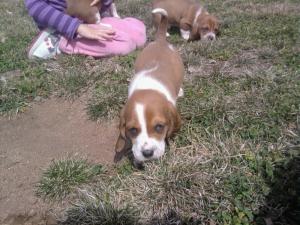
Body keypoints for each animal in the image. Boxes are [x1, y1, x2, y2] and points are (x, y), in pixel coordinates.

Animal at [115, 8, 184, 169]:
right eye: (133, 130)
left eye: (159, 127)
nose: (147, 153)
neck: (147, 88)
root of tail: (160, 40)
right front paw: (138, 159)